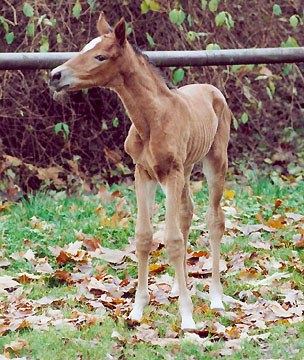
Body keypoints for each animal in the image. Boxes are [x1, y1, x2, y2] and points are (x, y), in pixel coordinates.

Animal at [49, 13, 230, 330]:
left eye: (100, 56)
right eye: (84, 48)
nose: (55, 76)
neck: (152, 120)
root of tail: (213, 90)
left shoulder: (170, 173)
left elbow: (171, 240)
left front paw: (187, 317)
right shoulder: (143, 173)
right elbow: (144, 237)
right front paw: (137, 309)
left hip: (214, 162)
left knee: (214, 219)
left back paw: (216, 298)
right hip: (186, 168)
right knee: (187, 214)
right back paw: (177, 286)